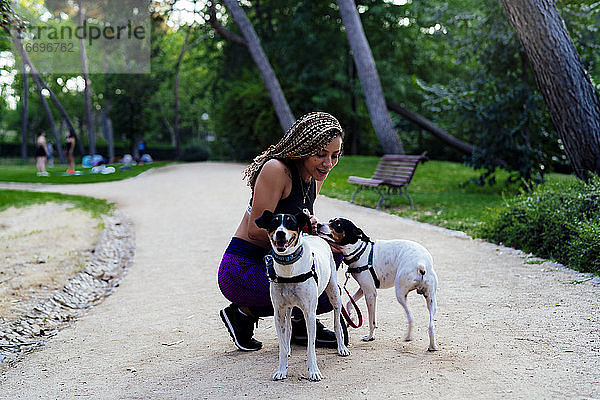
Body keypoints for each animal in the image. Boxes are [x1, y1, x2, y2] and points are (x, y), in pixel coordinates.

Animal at [254, 209, 350, 382]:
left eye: (291, 223)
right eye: (274, 223)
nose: (280, 233)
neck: (289, 269)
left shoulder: (310, 313)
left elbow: (311, 347)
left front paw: (314, 371)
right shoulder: (278, 312)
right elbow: (282, 345)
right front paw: (281, 369)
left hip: (334, 294)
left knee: (337, 323)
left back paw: (341, 348)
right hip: (288, 308)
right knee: (289, 328)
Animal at [316, 217, 438, 352]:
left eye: (338, 224)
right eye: (330, 220)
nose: (318, 224)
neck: (359, 251)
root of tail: (421, 263)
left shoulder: (370, 293)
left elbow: (371, 321)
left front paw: (370, 337)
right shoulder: (364, 288)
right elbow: (349, 302)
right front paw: (351, 318)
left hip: (400, 294)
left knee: (411, 318)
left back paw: (408, 337)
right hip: (431, 300)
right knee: (431, 326)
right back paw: (432, 346)